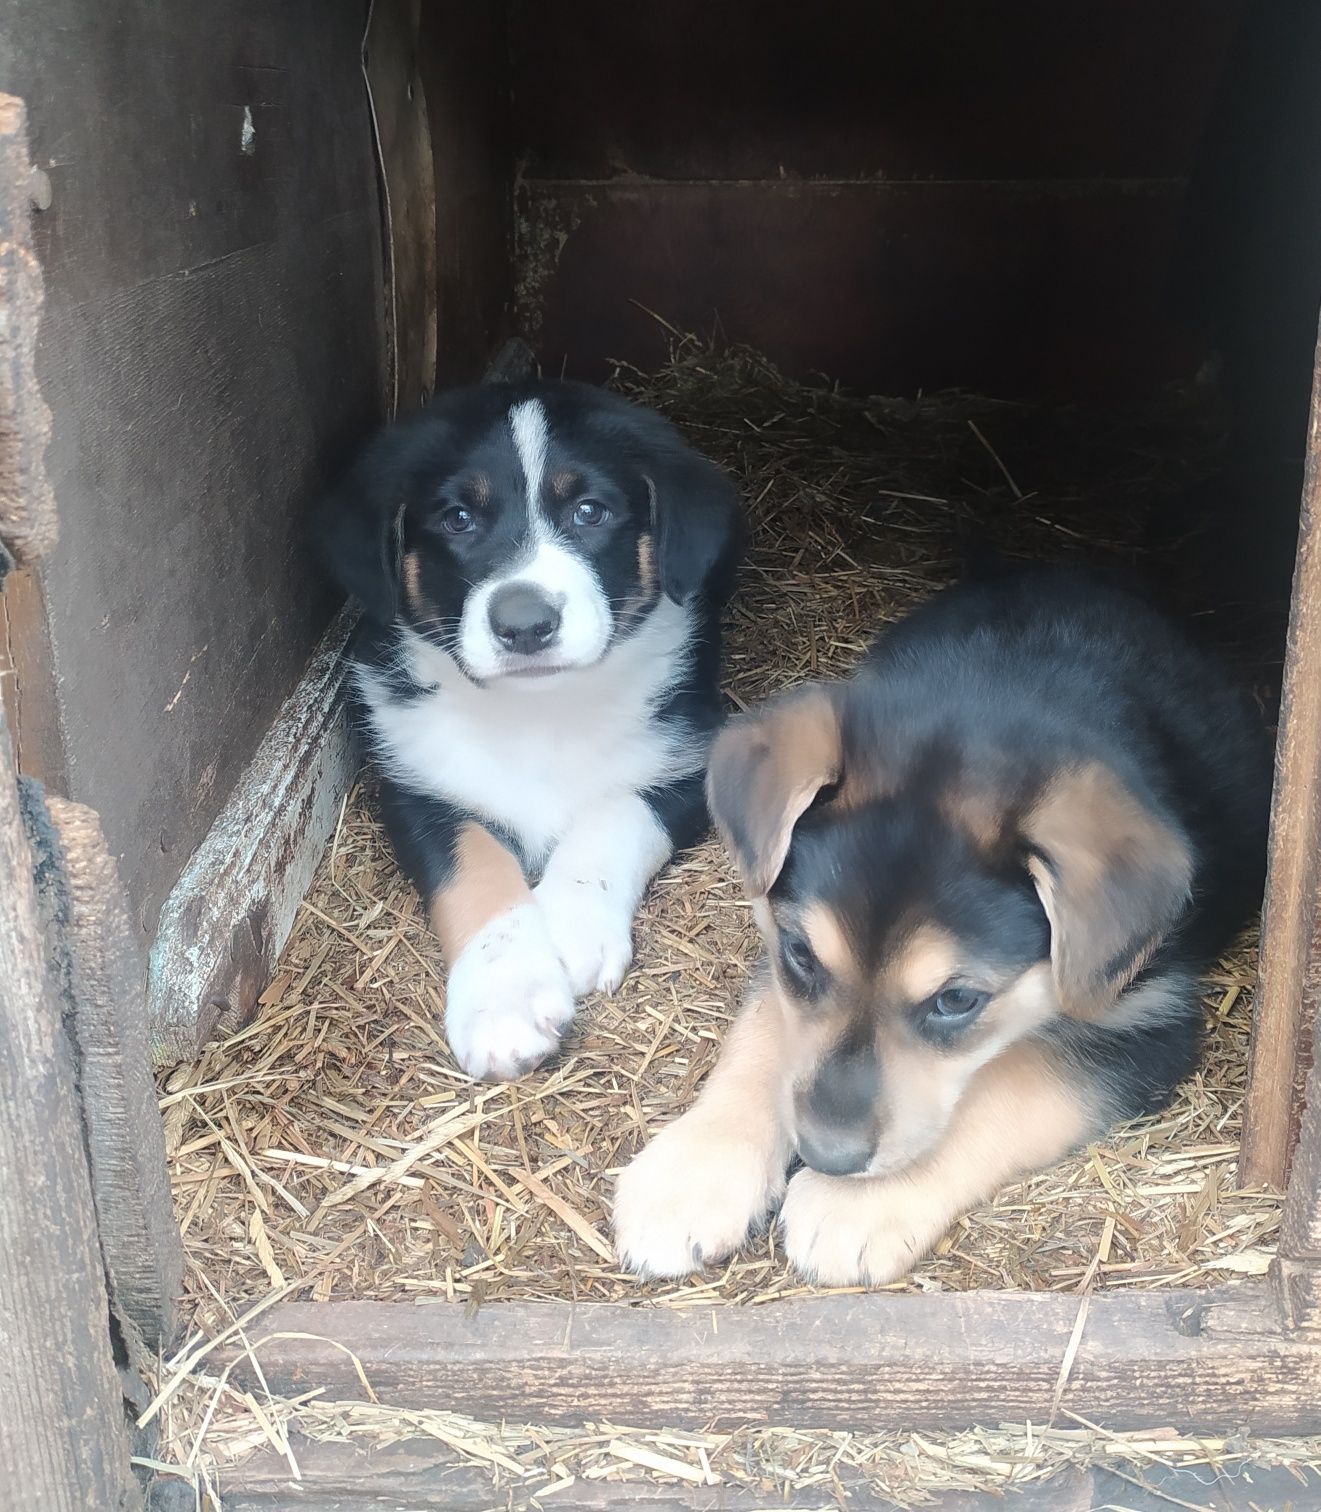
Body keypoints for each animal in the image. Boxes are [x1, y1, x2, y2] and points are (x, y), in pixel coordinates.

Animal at [320, 384, 740, 1082]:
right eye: (458, 518)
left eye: (590, 512)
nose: (524, 623)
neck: (539, 713)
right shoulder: (419, 788)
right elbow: (477, 868)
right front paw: (505, 1001)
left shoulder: (690, 753)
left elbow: (612, 817)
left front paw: (569, 928)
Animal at [613, 562, 1269, 1282]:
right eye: (801, 956)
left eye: (957, 1001)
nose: (829, 1157)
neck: (1001, 691)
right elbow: (763, 1038)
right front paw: (693, 1174)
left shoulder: (1147, 1020)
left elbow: (1015, 1085)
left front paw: (855, 1204)